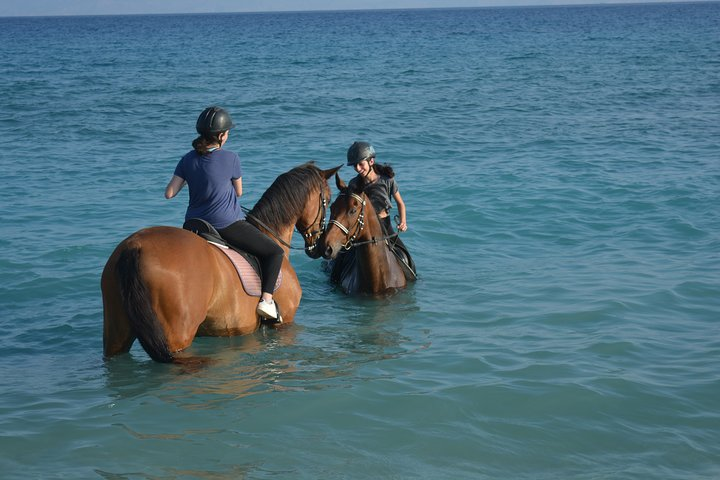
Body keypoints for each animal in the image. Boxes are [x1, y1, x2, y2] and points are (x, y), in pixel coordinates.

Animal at [99, 163, 344, 362]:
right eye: (328, 199)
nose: (321, 246)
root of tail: (135, 247)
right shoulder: (285, 324)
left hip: (116, 334)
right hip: (176, 337)